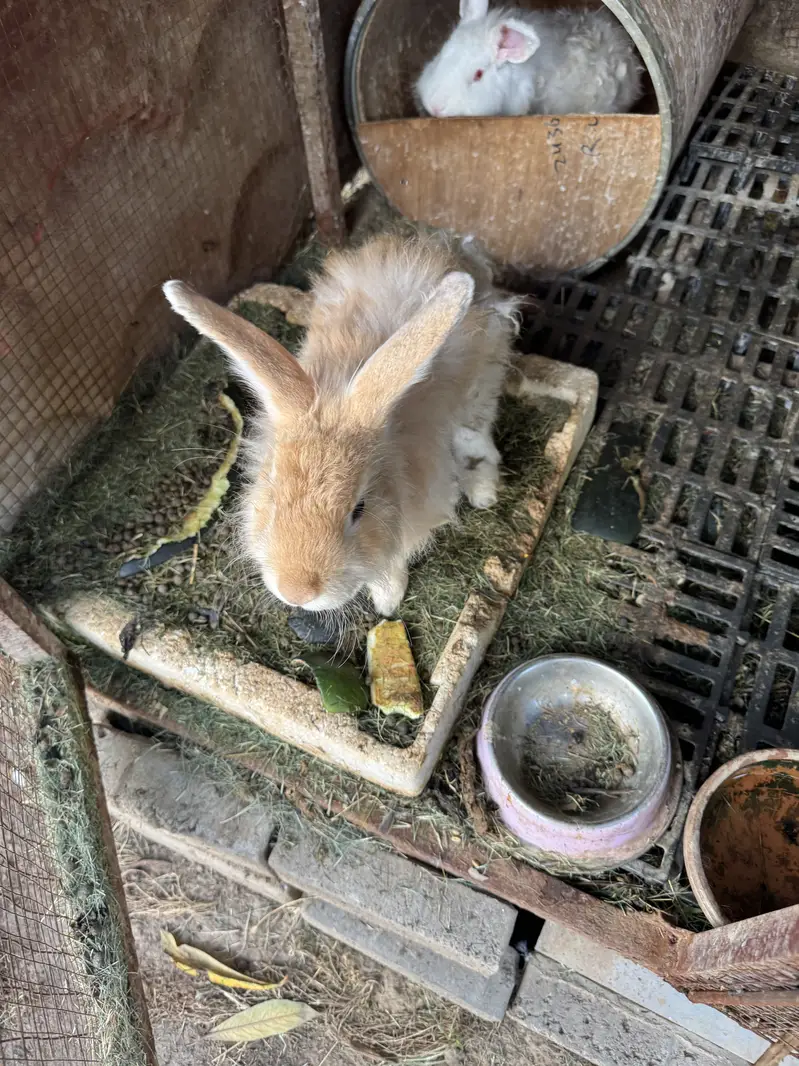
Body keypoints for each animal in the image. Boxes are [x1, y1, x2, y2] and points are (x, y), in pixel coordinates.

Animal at [163, 234, 519, 616]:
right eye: (273, 499)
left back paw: (483, 492)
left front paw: (387, 603)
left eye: (359, 510)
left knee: (477, 435)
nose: (297, 592)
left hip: (481, 384)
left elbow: (393, 562)